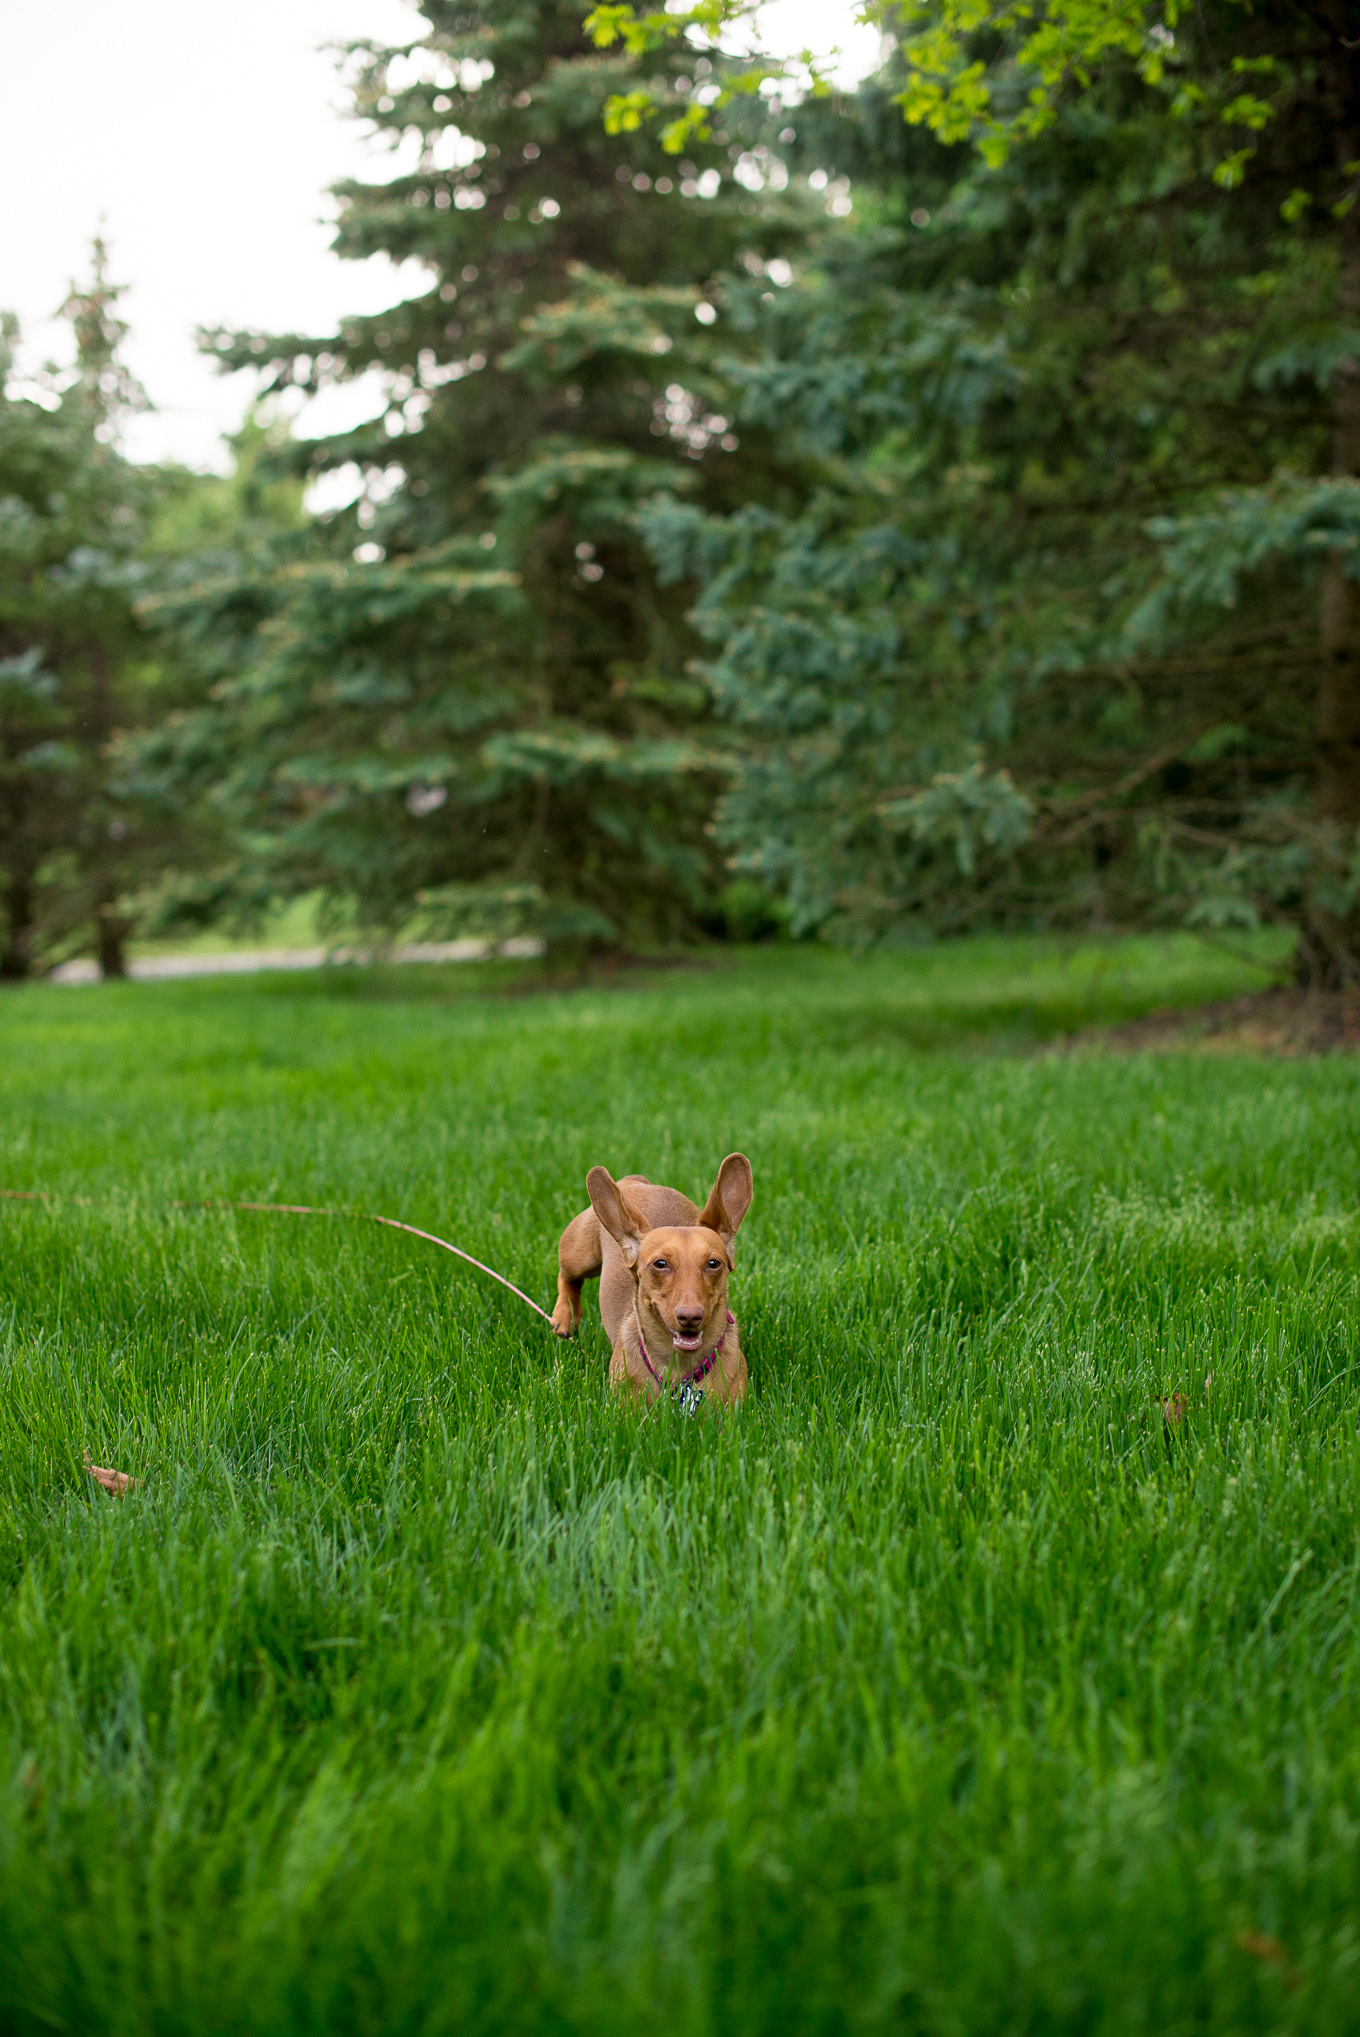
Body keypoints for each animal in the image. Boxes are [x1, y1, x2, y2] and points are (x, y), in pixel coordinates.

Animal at [557, 1157, 761, 1409]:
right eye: (660, 1264)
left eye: (714, 1263)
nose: (690, 1316)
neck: (680, 1367)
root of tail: (637, 1181)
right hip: (580, 1254)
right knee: (568, 1277)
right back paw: (563, 1316)